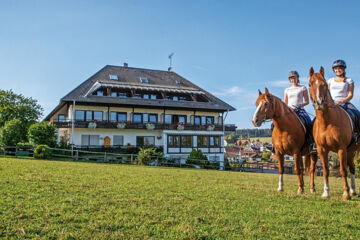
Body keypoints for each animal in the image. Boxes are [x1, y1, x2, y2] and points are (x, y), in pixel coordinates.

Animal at [310, 66, 358, 200]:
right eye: (310, 84)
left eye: (324, 84)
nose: (319, 103)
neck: (327, 122)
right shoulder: (321, 149)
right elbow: (326, 170)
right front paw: (326, 192)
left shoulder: (341, 148)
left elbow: (343, 170)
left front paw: (346, 194)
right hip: (350, 151)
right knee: (352, 167)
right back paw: (353, 190)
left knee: (351, 168)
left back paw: (351, 191)